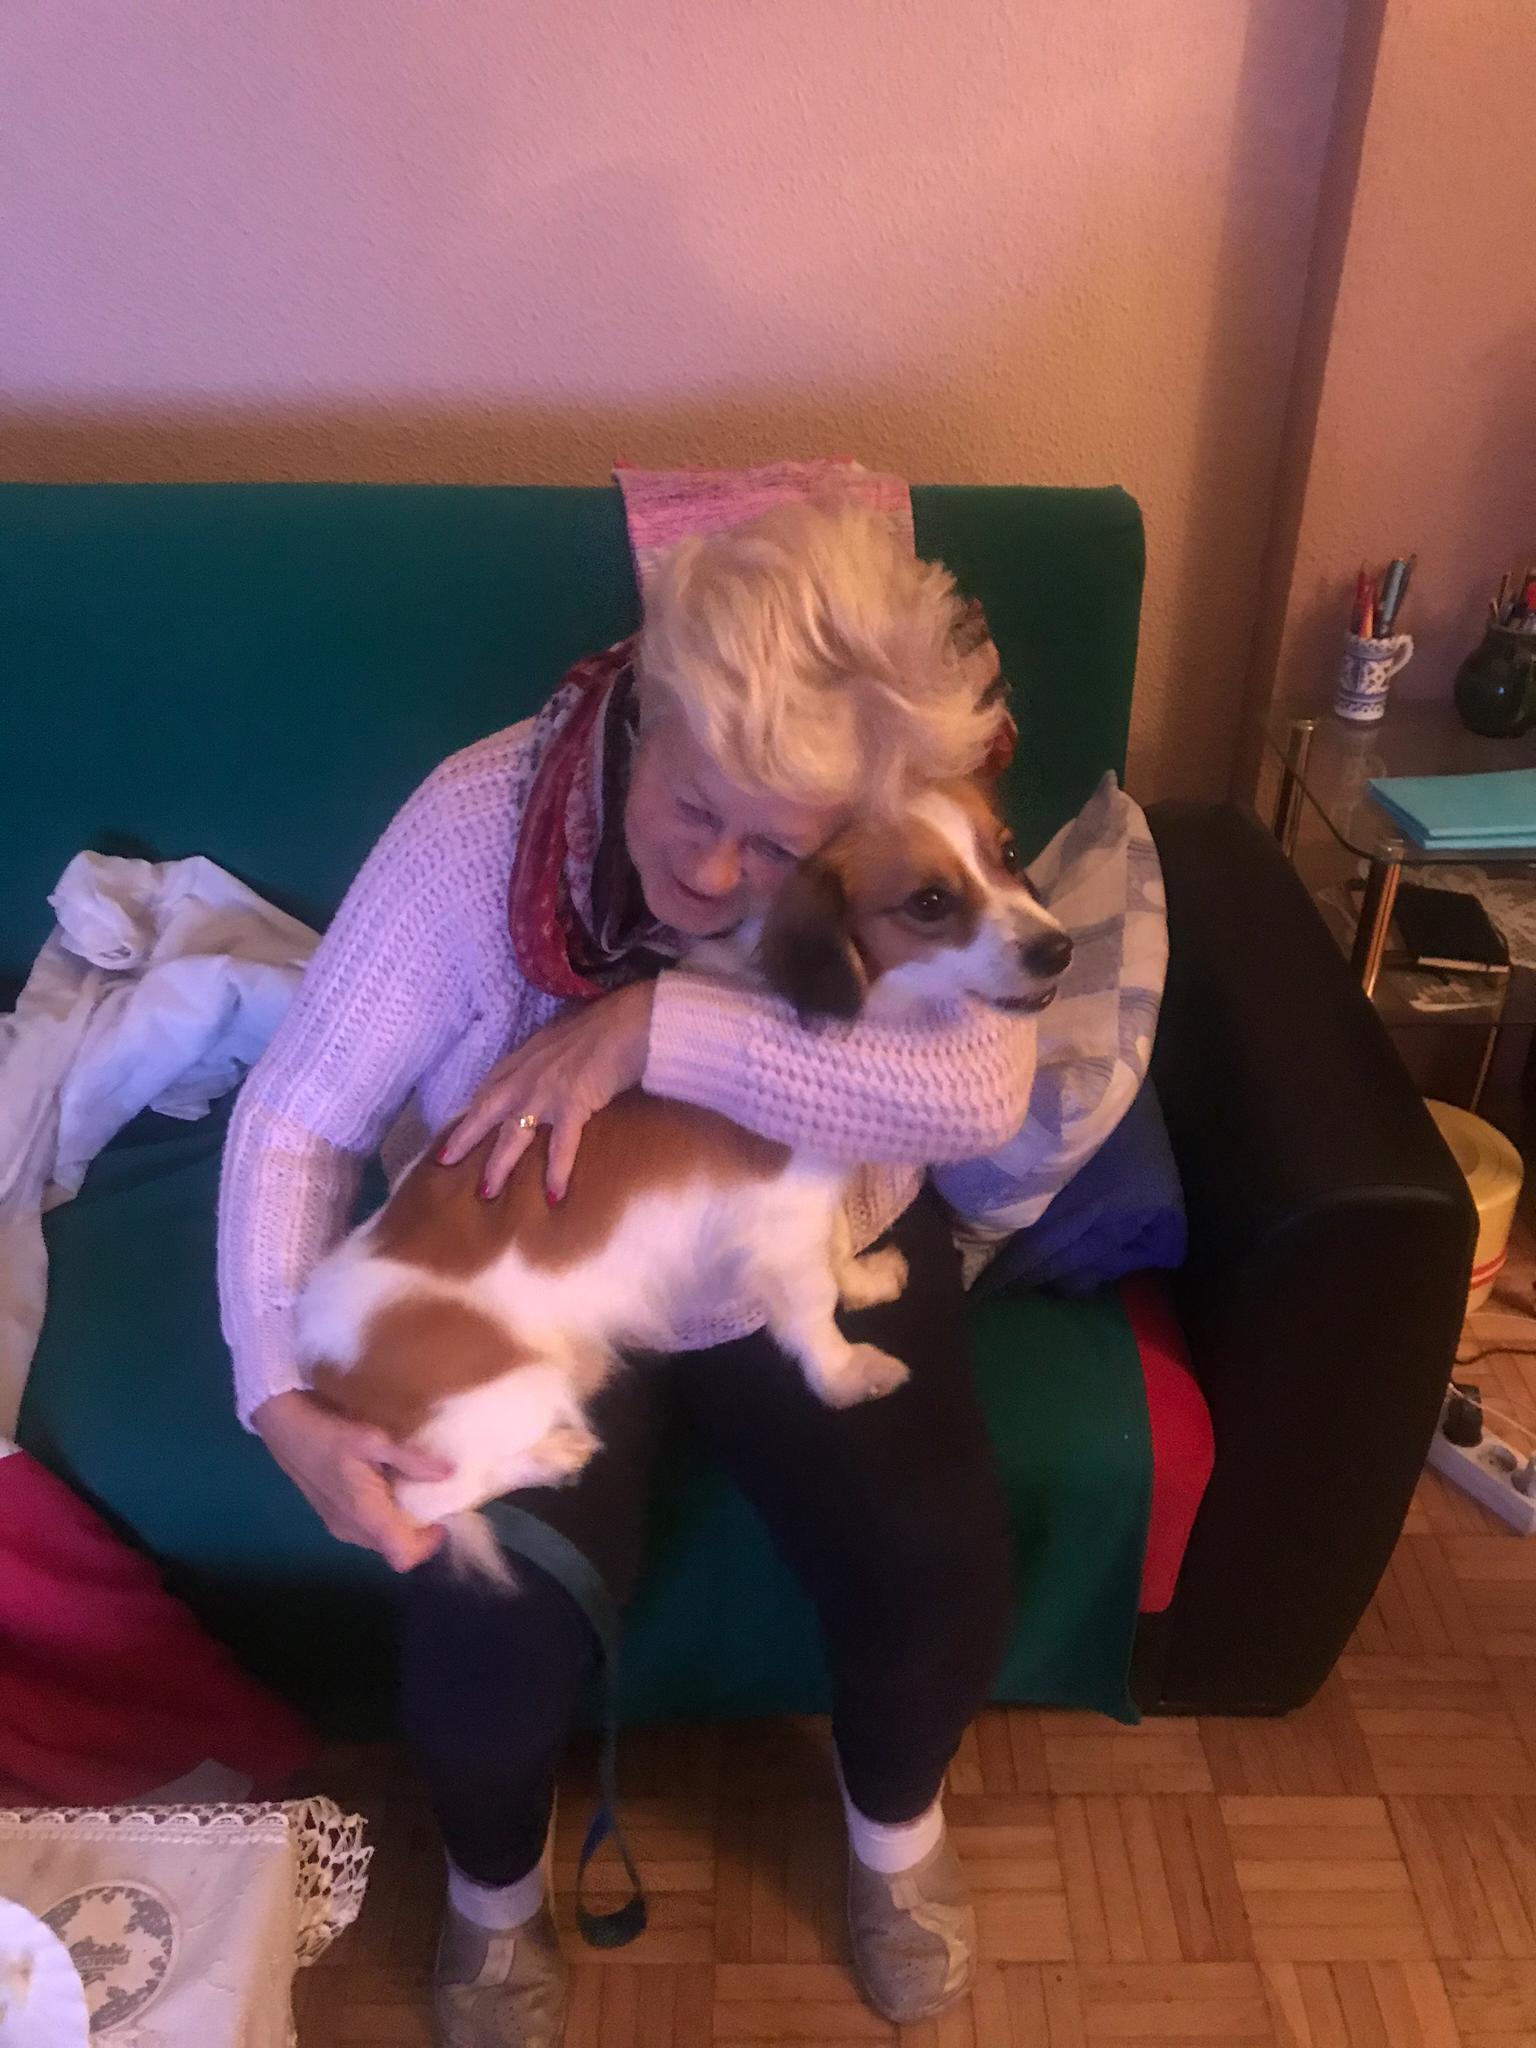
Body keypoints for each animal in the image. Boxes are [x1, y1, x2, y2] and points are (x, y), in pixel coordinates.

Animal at [293, 779, 1072, 1580]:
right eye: (929, 902)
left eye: (1008, 854)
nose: (1059, 949)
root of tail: (318, 1363)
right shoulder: (780, 1227)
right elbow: (811, 1309)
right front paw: (844, 1374)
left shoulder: (810, 1204)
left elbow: (834, 1252)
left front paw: (863, 1281)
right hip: (517, 1391)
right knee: (432, 1498)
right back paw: (555, 1454)